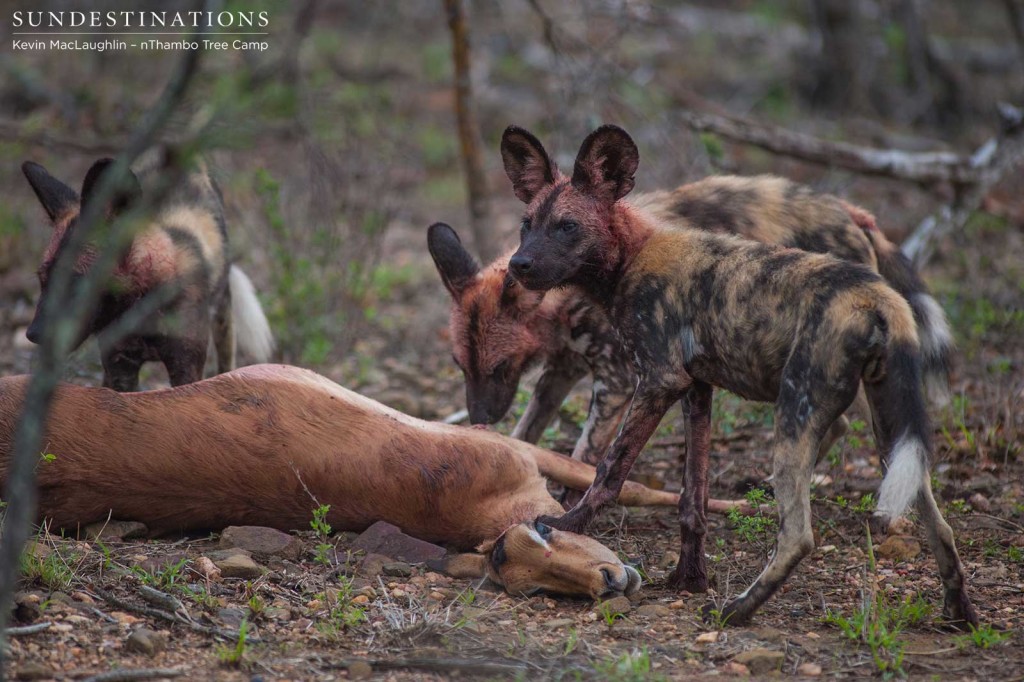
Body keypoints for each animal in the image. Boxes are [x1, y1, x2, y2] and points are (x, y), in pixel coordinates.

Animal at [20, 151, 276, 391]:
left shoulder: (185, 367)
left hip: (223, 318)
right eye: (42, 280)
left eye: (76, 283)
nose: (33, 334)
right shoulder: (120, 366)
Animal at [428, 178, 954, 471]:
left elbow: (584, 455)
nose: (478, 417)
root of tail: (852, 213)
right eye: (460, 365)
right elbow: (528, 431)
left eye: (500, 367)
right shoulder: (560, 370)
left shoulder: (617, 381)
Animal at [495, 123, 974, 626]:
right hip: (890, 430)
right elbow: (693, 500)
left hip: (794, 417)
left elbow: (608, 471)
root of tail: (876, 297)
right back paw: (958, 612)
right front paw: (689, 578)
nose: (518, 265)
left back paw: (737, 609)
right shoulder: (696, 389)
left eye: (567, 226)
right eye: (528, 224)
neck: (631, 256)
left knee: (799, 535)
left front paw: (565, 525)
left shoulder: (657, 382)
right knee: (938, 522)